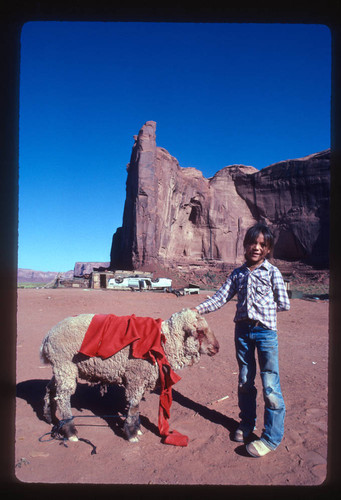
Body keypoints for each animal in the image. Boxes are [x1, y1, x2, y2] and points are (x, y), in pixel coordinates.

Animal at [40, 308, 218, 442]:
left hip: (61, 369)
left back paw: (50, 417)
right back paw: (70, 431)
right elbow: (134, 405)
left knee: (51, 389)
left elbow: (135, 406)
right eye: (200, 332)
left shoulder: (140, 378)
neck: (164, 342)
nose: (217, 348)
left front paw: (136, 429)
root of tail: (47, 337)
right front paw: (131, 433)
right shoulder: (135, 376)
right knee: (63, 397)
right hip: (65, 365)